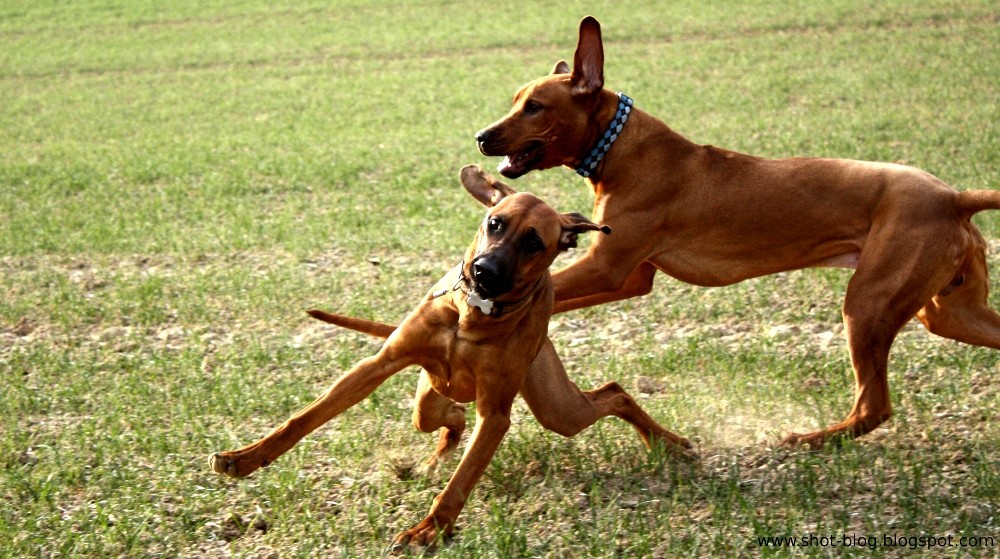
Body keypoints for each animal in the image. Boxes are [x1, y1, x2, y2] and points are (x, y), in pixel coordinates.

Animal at [211, 165, 692, 552]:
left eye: (534, 243)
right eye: (495, 223)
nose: (484, 271)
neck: (471, 316)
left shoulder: (495, 413)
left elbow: (461, 481)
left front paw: (427, 530)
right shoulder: (378, 365)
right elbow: (303, 419)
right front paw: (244, 458)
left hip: (557, 407)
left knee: (613, 393)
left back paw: (668, 443)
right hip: (429, 397)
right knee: (444, 415)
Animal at [474, 14, 1000, 450]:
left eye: (535, 107)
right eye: (516, 101)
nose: (481, 136)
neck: (619, 147)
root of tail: (954, 197)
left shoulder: (606, 267)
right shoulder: (631, 278)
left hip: (869, 303)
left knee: (874, 407)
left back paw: (808, 440)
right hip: (950, 312)